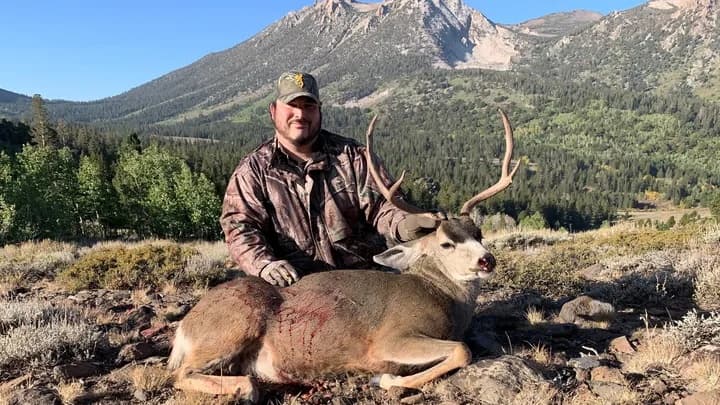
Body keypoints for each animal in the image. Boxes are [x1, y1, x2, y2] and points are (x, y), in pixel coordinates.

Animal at [167, 109, 521, 402]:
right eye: (446, 243)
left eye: (479, 233)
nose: (486, 260)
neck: (441, 296)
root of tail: (185, 326)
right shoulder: (390, 338)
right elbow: (462, 350)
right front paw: (386, 380)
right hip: (234, 325)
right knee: (181, 374)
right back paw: (248, 388)